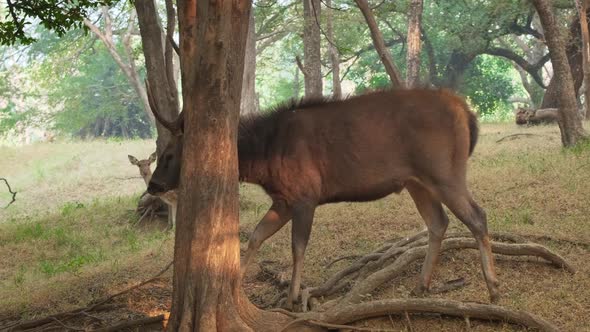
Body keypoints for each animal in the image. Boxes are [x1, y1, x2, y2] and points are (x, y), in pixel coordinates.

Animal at [147, 88, 500, 308]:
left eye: (168, 155)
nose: (152, 185)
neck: (262, 159)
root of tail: (467, 113)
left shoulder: (306, 195)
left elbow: (297, 246)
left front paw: (292, 297)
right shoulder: (283, 200)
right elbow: (257, 236)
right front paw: (235, 282)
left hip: (445, 172)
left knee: (478, 216)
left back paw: (493, 288)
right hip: (417, 182)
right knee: (438, 222)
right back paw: (421, 285)